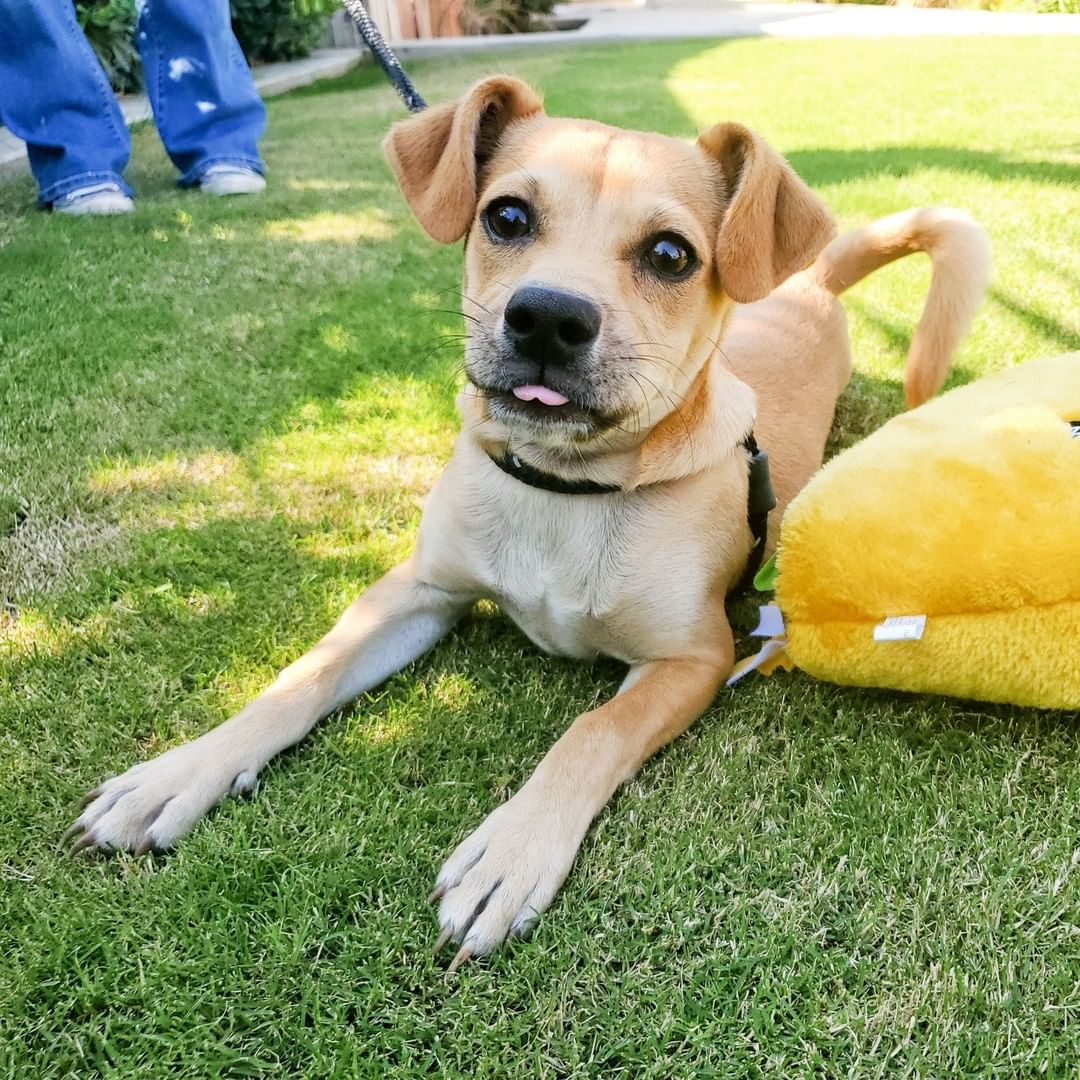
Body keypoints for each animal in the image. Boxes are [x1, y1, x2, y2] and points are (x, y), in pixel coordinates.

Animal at [65, 76, 989, 972]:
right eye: (506, 216)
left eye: (670, 254)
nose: (547, 317)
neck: (562, 491)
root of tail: (808, 284)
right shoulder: (418, 588)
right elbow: (301, 676)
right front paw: (182, 772)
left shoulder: (695, 656)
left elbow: (592, 731)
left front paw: (512, 849)